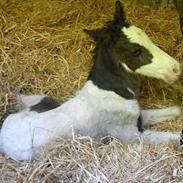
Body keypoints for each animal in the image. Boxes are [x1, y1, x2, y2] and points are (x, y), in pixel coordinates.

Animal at [0, 0, 182, 160]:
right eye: (135, 51)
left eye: (146, 36)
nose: (176, 69)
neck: (113, 93)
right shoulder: (132, 136)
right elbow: (174, 136)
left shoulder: (140, 118)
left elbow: (175, 110)